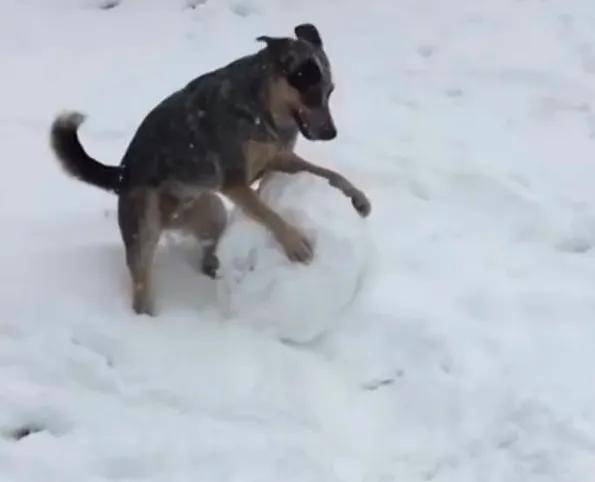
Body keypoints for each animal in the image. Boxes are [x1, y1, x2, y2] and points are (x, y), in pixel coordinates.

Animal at [50, 23, 372, 316]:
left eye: (330, 92)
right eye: (310, 91)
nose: (331, 133)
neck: (260, 106)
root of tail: (121, 173)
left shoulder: (278, 160)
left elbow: (330, 174)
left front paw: (359, 199)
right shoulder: (235, 182)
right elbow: (269, 213)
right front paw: (295, 242)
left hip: (210, 210)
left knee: (206, 248)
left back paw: (214, 269)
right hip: (145, 226)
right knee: (141, 284)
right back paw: (148, 321)